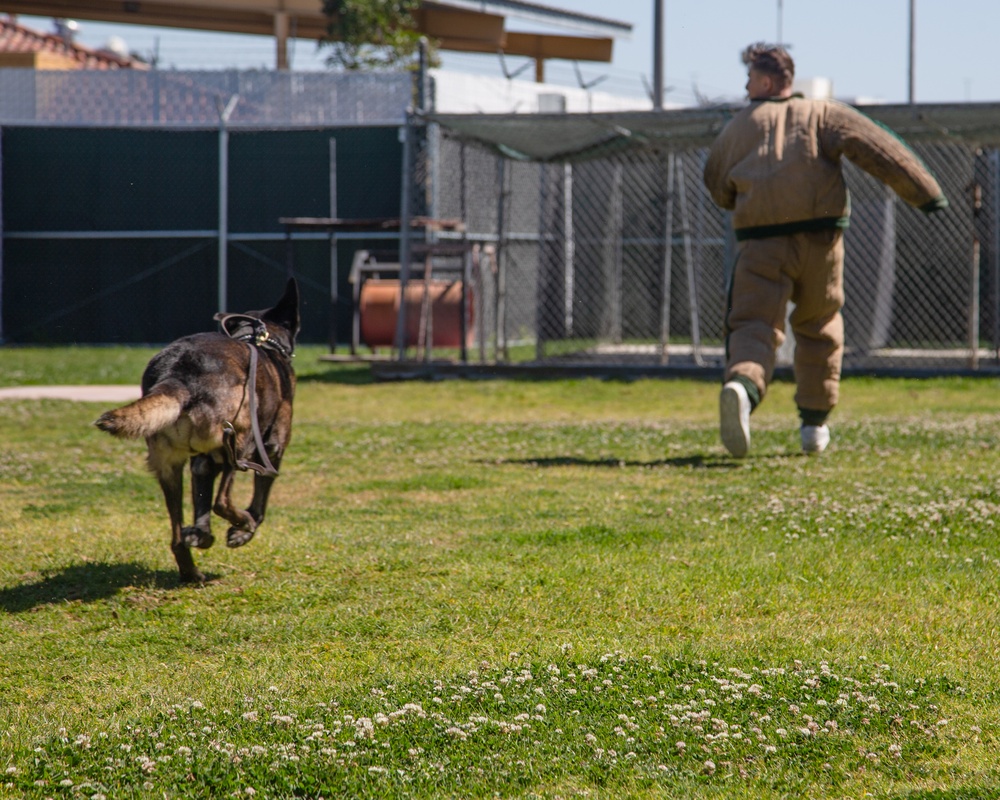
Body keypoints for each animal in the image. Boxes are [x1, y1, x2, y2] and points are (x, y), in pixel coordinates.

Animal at [95, 278, 298, 584]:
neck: (256, 338)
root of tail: (177, 375)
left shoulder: (201, 462)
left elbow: (201, 505)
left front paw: (201, 534)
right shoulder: (273, 448)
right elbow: (259, 501)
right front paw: (243, 531)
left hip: (169, 468)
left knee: (177, 537)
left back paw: (192, 569)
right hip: (242, 441)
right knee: (222, 500)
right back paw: (242, 523)